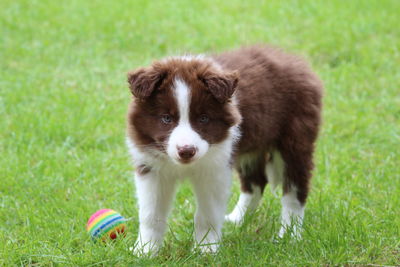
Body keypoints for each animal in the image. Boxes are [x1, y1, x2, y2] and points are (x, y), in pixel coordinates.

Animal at [126, 45, 324, 255]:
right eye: (166, 118)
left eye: (203, 118)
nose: (186, 151)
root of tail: (295, 61)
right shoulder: (152, 169)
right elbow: (150, 214)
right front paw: (145, 251)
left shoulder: (214, 169)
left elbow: (207, 214)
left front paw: (206, 250)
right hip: (251, 148)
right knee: (255, 183)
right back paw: (237, 219)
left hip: (295, 140)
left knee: (294, 191)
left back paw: (288, 236)